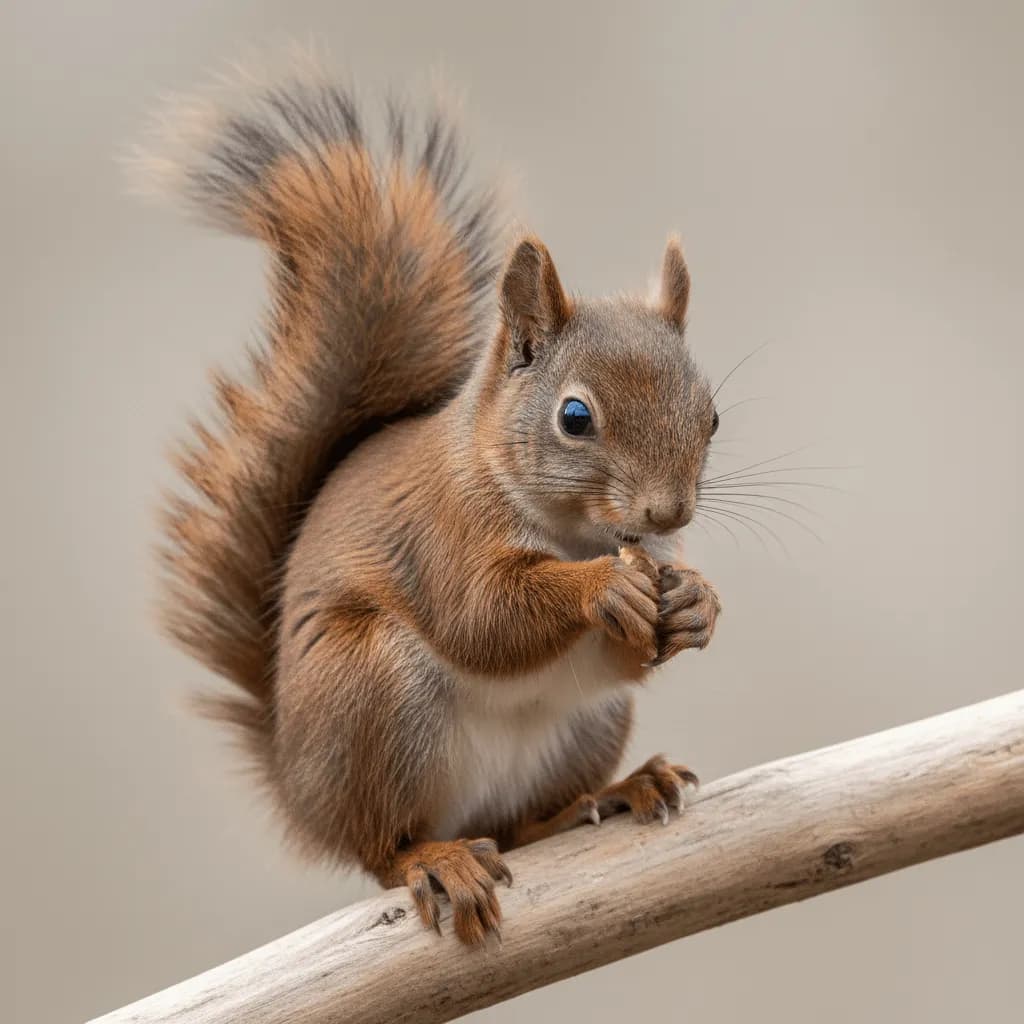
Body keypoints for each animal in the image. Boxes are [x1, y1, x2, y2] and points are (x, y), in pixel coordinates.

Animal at [135, 63, 721, 945]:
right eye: (574, 417)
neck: (573, 532)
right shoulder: (440, 532)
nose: (667, 516)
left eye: (712, 415)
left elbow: (627, 655)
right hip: (373, 694)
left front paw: (697, 603)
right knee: (385, 850)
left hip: (587, 726)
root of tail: (301, 793)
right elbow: (482, 614)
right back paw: (437, 860)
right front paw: (600, 588)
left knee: (522, 825)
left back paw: (610, 795)